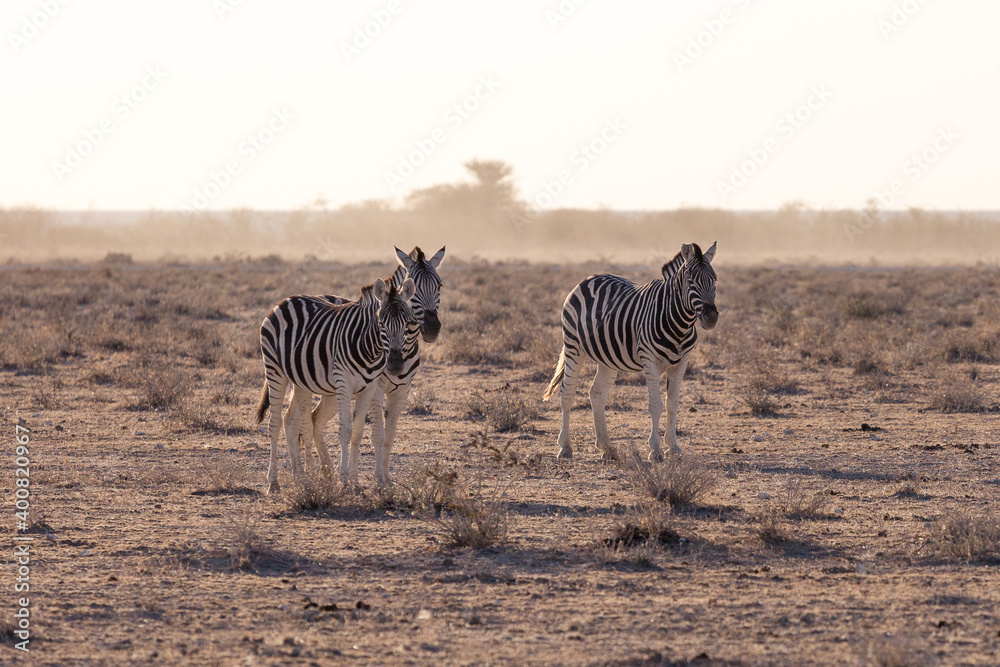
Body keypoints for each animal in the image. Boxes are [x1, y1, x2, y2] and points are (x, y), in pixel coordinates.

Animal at [255, 275, 415, 493]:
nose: (396, 364)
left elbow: (358, 432)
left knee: (290, 421)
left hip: (300, 381)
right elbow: (346, 431)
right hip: (274, 371)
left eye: (407, 323)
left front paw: (355, 482)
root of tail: (285, 300)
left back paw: (301, 478)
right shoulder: (344, 384)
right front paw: (345, 480)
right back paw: (273, 482)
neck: (369, 349)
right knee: (275, 423)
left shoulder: (369, 388)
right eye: (381, 323)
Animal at [307, 246, 445, 484]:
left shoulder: (403, 390)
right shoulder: (376, 389)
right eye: (414, 286)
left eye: (439, 285)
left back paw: (326, 470)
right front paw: (378, 478)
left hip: (331, 392)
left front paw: (386, 478)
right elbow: (377, 434)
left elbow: (389, 435)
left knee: (316, 419)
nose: (431, 328)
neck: (404, 347)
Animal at [542, 242, 718, 461]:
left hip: (607, 357)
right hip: (574, 346)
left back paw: (606, 447)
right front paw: (655, 450)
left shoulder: (682, 362)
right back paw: (565, 447)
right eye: (691, 281)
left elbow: (673, 403)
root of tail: (589, 278)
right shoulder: (650, 360)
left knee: (597, 393)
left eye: (715, 280)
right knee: (567, 392)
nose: (711, 317)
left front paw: (673, 446)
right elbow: (656, 405)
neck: (679, 323)